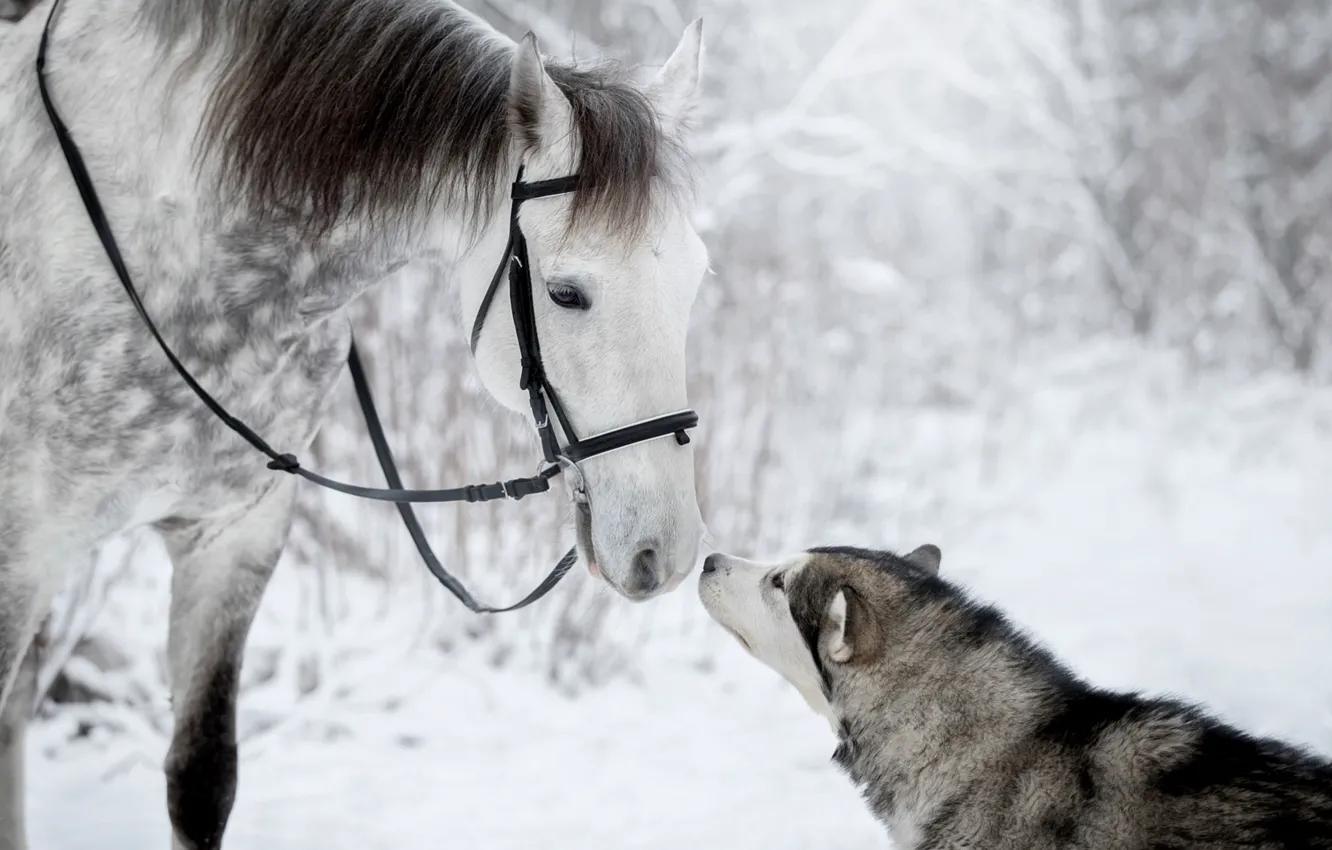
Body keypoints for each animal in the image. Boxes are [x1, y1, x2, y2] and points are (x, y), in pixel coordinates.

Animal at [0, 0, 709, 846]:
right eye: (566, 294)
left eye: (697, 278)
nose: (666, 552)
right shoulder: (20, 558)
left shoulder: (231, 541)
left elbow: (201, 781)